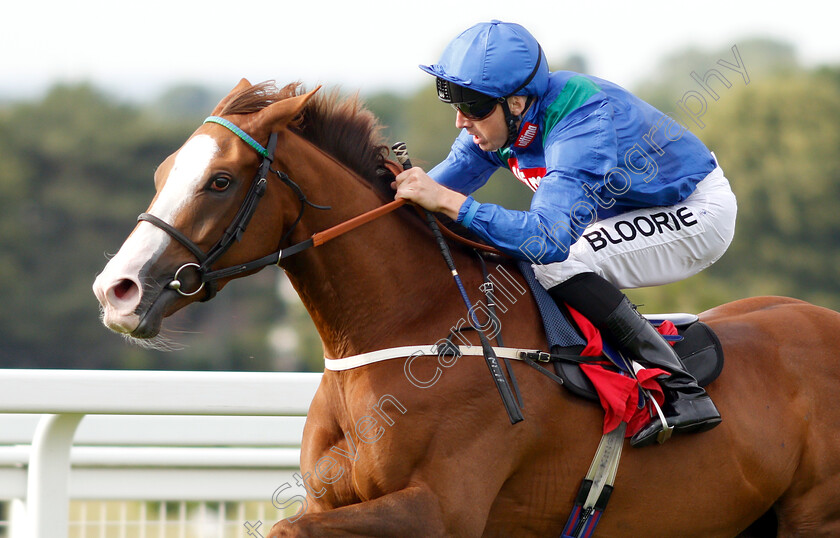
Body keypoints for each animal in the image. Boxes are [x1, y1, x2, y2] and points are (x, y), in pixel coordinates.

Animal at [92, 80, 840, 536]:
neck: (410, 329)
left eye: (220, 181)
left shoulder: (440, 511)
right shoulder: (337, 496)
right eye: (163, 172)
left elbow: (283, 527)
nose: (117, 289)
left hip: (814, 515)